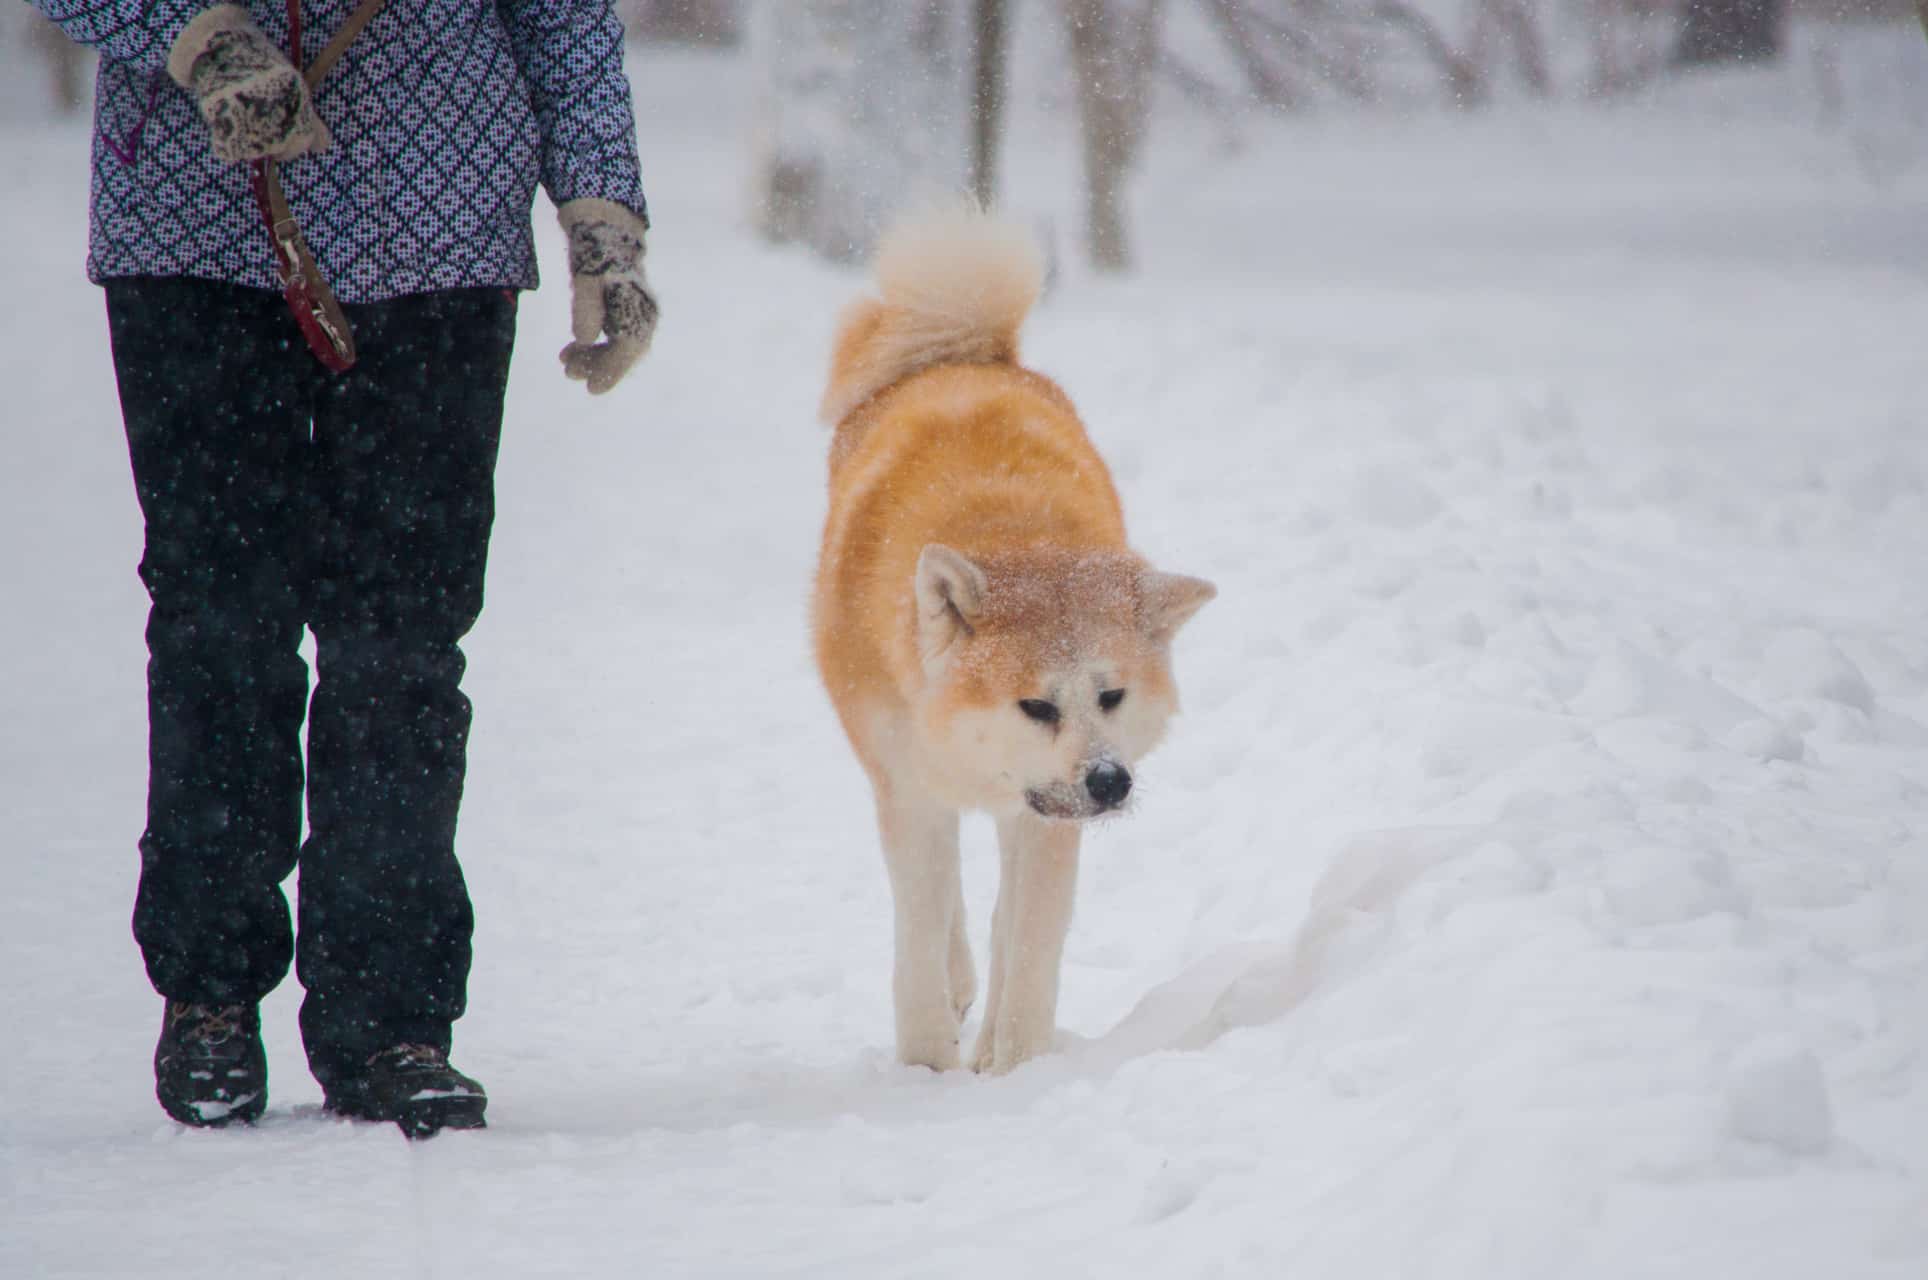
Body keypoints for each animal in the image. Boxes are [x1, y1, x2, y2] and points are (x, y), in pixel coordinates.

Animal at [817, 207, 1218, 1071]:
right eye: (1036, 705)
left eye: (1112, 695)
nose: (1110, 782)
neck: (1007, 535)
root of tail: (965, 352)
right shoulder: (907, 787)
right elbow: (921, 927)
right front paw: (926, 1064)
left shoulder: (1045, 819)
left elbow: (1030, 942)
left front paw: (1017, 1068)